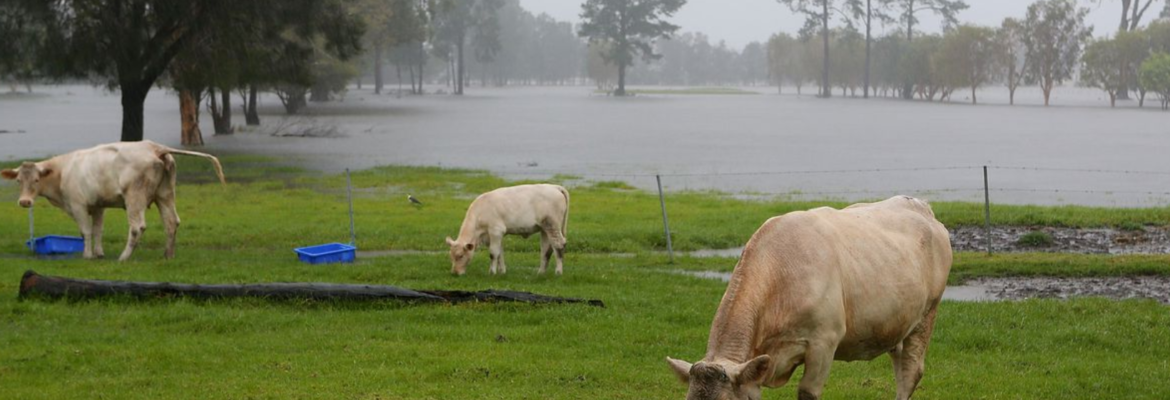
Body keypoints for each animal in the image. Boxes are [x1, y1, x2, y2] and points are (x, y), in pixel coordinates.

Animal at [1, 139, 223, 259]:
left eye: (37, 179)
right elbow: (98, 230)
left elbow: (85, 231)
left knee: (137, 226)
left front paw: (87, 255)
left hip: (134, 197)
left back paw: (124, 257)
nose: (25, 202)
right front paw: (98, 253)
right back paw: (168, 255)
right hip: (165, 194)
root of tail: (153, 146)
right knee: (171, 222)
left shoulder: (78, 205)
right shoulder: (98, 205)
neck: (63, 171)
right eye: (19, 180)